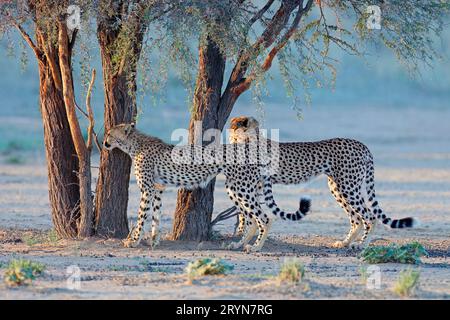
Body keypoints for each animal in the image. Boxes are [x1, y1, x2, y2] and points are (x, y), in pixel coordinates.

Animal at [103, 124, 312, 251]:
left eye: (109, 134)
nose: (104, 143)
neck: (134, 144)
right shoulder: (158, 187)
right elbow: (155, 216)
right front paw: (154, 240)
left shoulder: (147, 189)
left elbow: (141, 216)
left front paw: (133, 240)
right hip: (236, 188)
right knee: (253, 219)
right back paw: (238, 245)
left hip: (241, 188)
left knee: (265, 218)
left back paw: (256, 247)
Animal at [225, 116, 418, 249]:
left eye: (257, 129)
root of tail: (360, 144)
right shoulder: (253, 187)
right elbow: (247, 217)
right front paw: (240, 241)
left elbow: (253, 217)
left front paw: (253, 244)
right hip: (337, 187)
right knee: (356, 218)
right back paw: (345, 242)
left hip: (349, 187)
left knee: (370, 216)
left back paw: (361, 245)